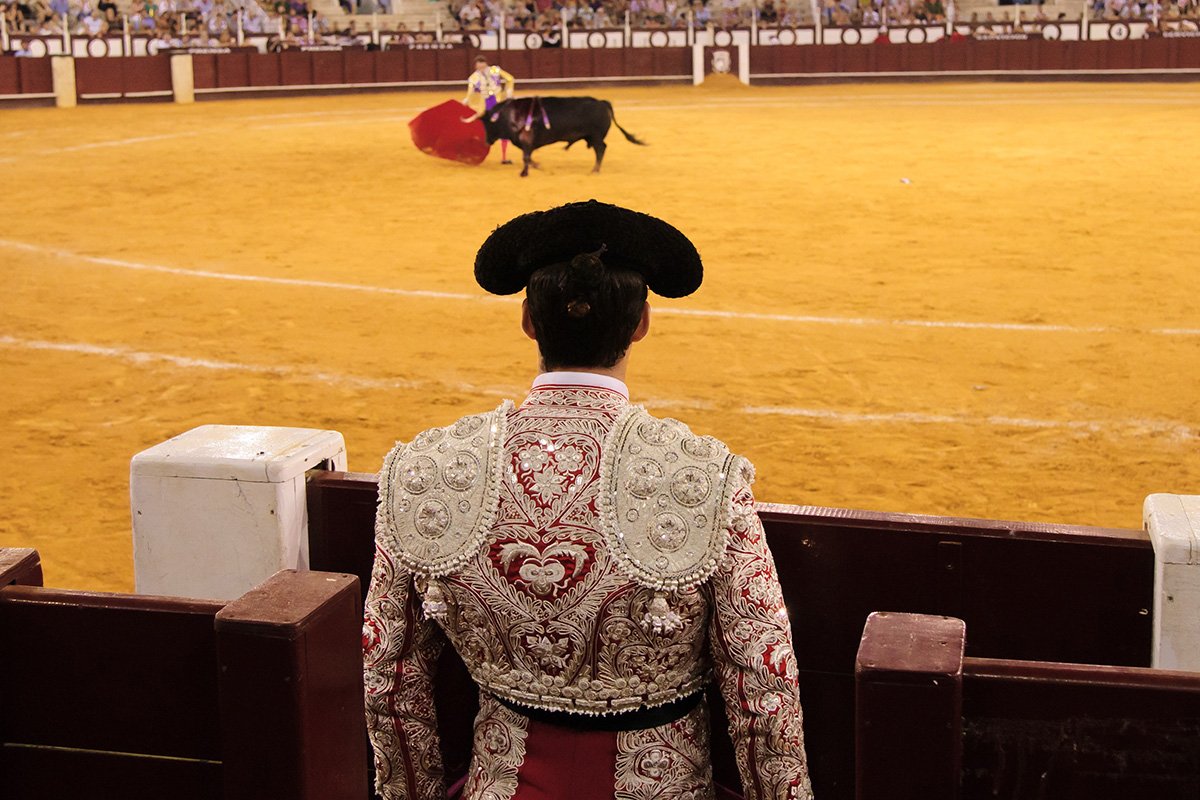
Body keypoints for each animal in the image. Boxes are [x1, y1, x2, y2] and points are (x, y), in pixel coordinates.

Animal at [468, 95, 648, 177]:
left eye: (487, 124)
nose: (487, 141)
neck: (508, 115)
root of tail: (602, 102)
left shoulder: (526, 140)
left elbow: (525, 157)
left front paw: (524, 173)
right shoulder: (526, 143)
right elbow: (528, 157)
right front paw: (537, 166)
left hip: (596, 136)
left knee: (601, 149)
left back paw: (595, 170)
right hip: (591, 137)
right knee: (601, 149)